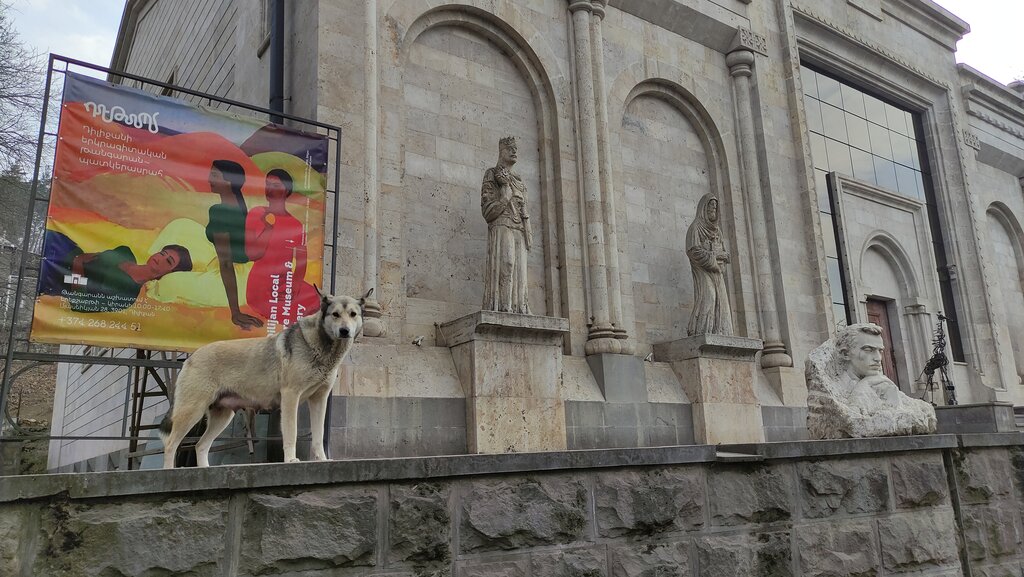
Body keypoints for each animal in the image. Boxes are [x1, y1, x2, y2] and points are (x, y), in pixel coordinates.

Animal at [157, 286, 370, 467]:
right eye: (335, 314)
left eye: (353, 314)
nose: (345, 331)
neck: (321, 345)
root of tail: (192, 356)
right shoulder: (290, 396)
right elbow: (291, 432)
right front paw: (291, 459)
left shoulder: (319, 399)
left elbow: (318, 436)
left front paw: (323, 460)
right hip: (192, 409)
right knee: (171, 444)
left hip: (222, 414)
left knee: (200, 445)